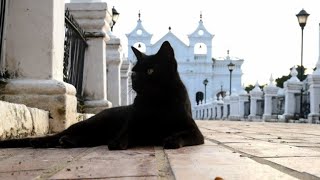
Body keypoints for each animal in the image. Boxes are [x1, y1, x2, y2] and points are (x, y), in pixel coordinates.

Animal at [0, 41, 205, 150]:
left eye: (150, 71)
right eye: (134, 72)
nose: (135, 80)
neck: (157, 100)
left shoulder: (194, 132)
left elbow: (181, 135)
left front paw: (171, 139)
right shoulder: (132, 124)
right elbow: (127, 133)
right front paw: (118, 142)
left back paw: (66, 142)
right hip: (92, 124)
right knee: (62, 135)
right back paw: (48, 141)